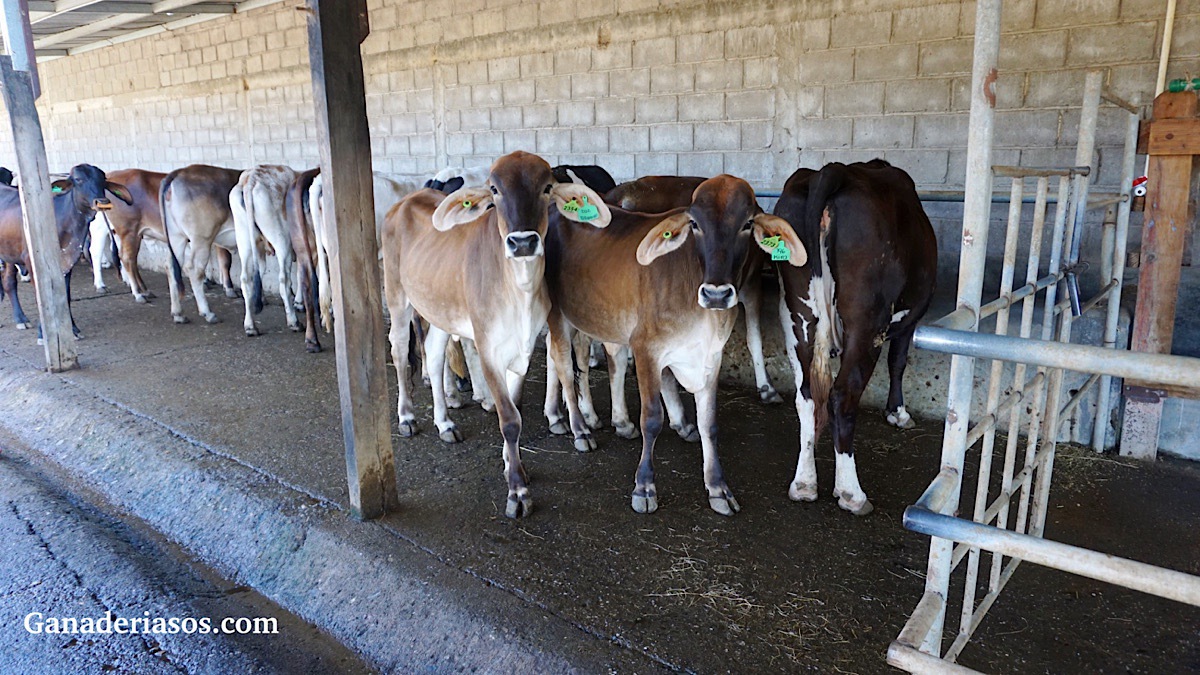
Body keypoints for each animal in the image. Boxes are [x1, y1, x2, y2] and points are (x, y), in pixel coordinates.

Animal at [0, 162, 131, 331]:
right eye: (78, 179)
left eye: (103, 179)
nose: (101, 202)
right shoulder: (32, 261)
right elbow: (42, 299)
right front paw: (43, 331)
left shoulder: (67, 261)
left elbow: (65, 296)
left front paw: (73, 328)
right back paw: (20, 318)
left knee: (8, 282)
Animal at [381, 149, 614, 514]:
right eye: (494, 189)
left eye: (548, 187)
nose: (523, 242)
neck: (520, 291)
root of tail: (409, 198)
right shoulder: (488, 347)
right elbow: (509, 418)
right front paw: (517, 490)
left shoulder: (523, 348)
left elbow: (516, 409)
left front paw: (512, 465)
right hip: (397, 296)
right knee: (399, 350)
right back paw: (406, 417)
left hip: (441, 310)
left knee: (433, 355)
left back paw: (445, 423)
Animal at [547, 172, 806, 514]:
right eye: (694, 223)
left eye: (748, 223)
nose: (716, 294)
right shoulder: (646, 349)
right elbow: (651, 419)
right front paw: (644, 487)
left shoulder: (711, 355)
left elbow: (709, 423)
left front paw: (718, 488)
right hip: (558, 314)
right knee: (564, 366)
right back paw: (579, 428)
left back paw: (594, 419)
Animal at [772, 158, 940, 514]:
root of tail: (833, 170)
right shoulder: (909, 319)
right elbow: (898, 361)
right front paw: (898, 413)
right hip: (867, 321)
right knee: (842, 396)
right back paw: (851, 492)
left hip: (797, 316)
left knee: (807, 396)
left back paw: (804, 483)